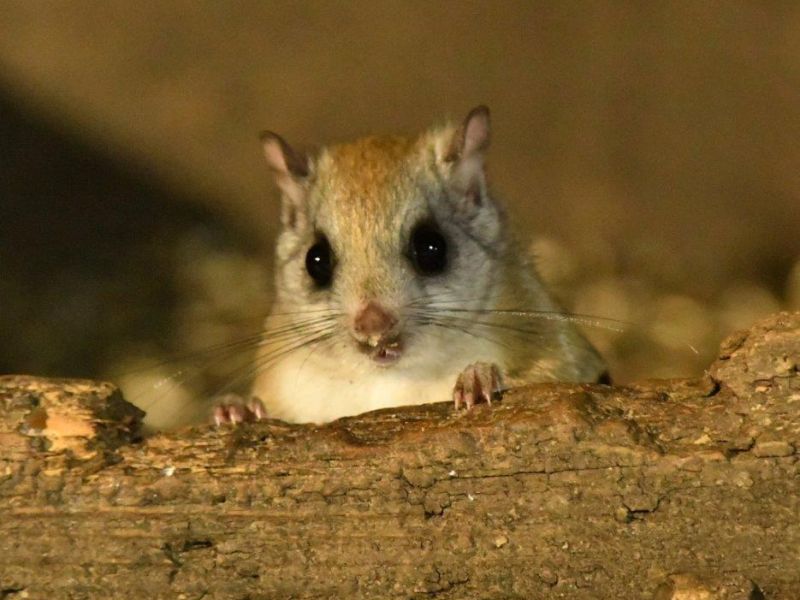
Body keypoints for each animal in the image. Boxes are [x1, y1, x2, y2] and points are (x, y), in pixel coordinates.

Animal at [214, 106, 607, 425]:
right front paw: (237, 410)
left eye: (431, 248)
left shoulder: (561, 353)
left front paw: (478, 378)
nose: (372, 326)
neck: (389, 378)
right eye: (316, 260)